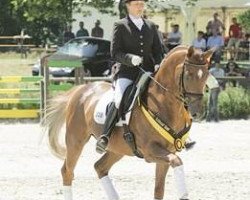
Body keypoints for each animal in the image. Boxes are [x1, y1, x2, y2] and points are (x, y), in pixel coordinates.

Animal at [41, 46, 213, 199]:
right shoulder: (151, 151)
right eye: (188, 75)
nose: (197, 112)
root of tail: (81, 89)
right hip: (75, 141)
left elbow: (159, 190)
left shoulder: (166, 154)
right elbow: (177, 162)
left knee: (99, 167)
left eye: (206, 75)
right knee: (67, 171)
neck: (163, 104)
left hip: (117, 148)